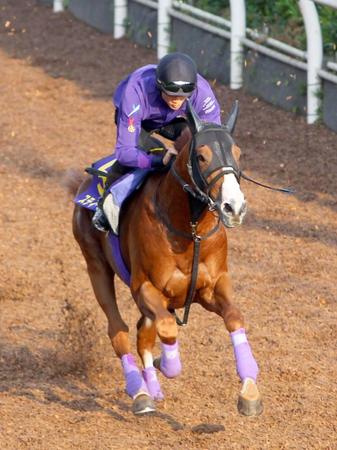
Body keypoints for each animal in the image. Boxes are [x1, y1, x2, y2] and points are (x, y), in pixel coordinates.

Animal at [71, 100, 262, 416]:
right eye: (201, 156)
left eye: (238, 153)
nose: (233, 207)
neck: (189, 231)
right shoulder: (145, 288)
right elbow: (168, 329)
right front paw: (168, 364)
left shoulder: (211, 287)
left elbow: (235, 318)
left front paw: (249, 392)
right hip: (95, 265)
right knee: (119, 330)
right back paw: (140, 392)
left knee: (142, 333)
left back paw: (153, 387)